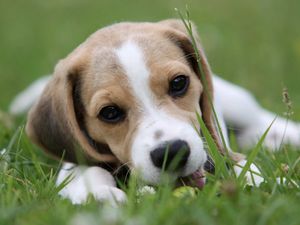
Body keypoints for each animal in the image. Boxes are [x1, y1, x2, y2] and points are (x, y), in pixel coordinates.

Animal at [8, 20, 300, 205]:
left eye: (179, 83)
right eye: (109, 112)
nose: (172, 152)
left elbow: (240, 166)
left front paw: (253, 178)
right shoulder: (75, 160)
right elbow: (88, 171)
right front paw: (100, 194)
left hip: (237, 102)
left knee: (260, 119)